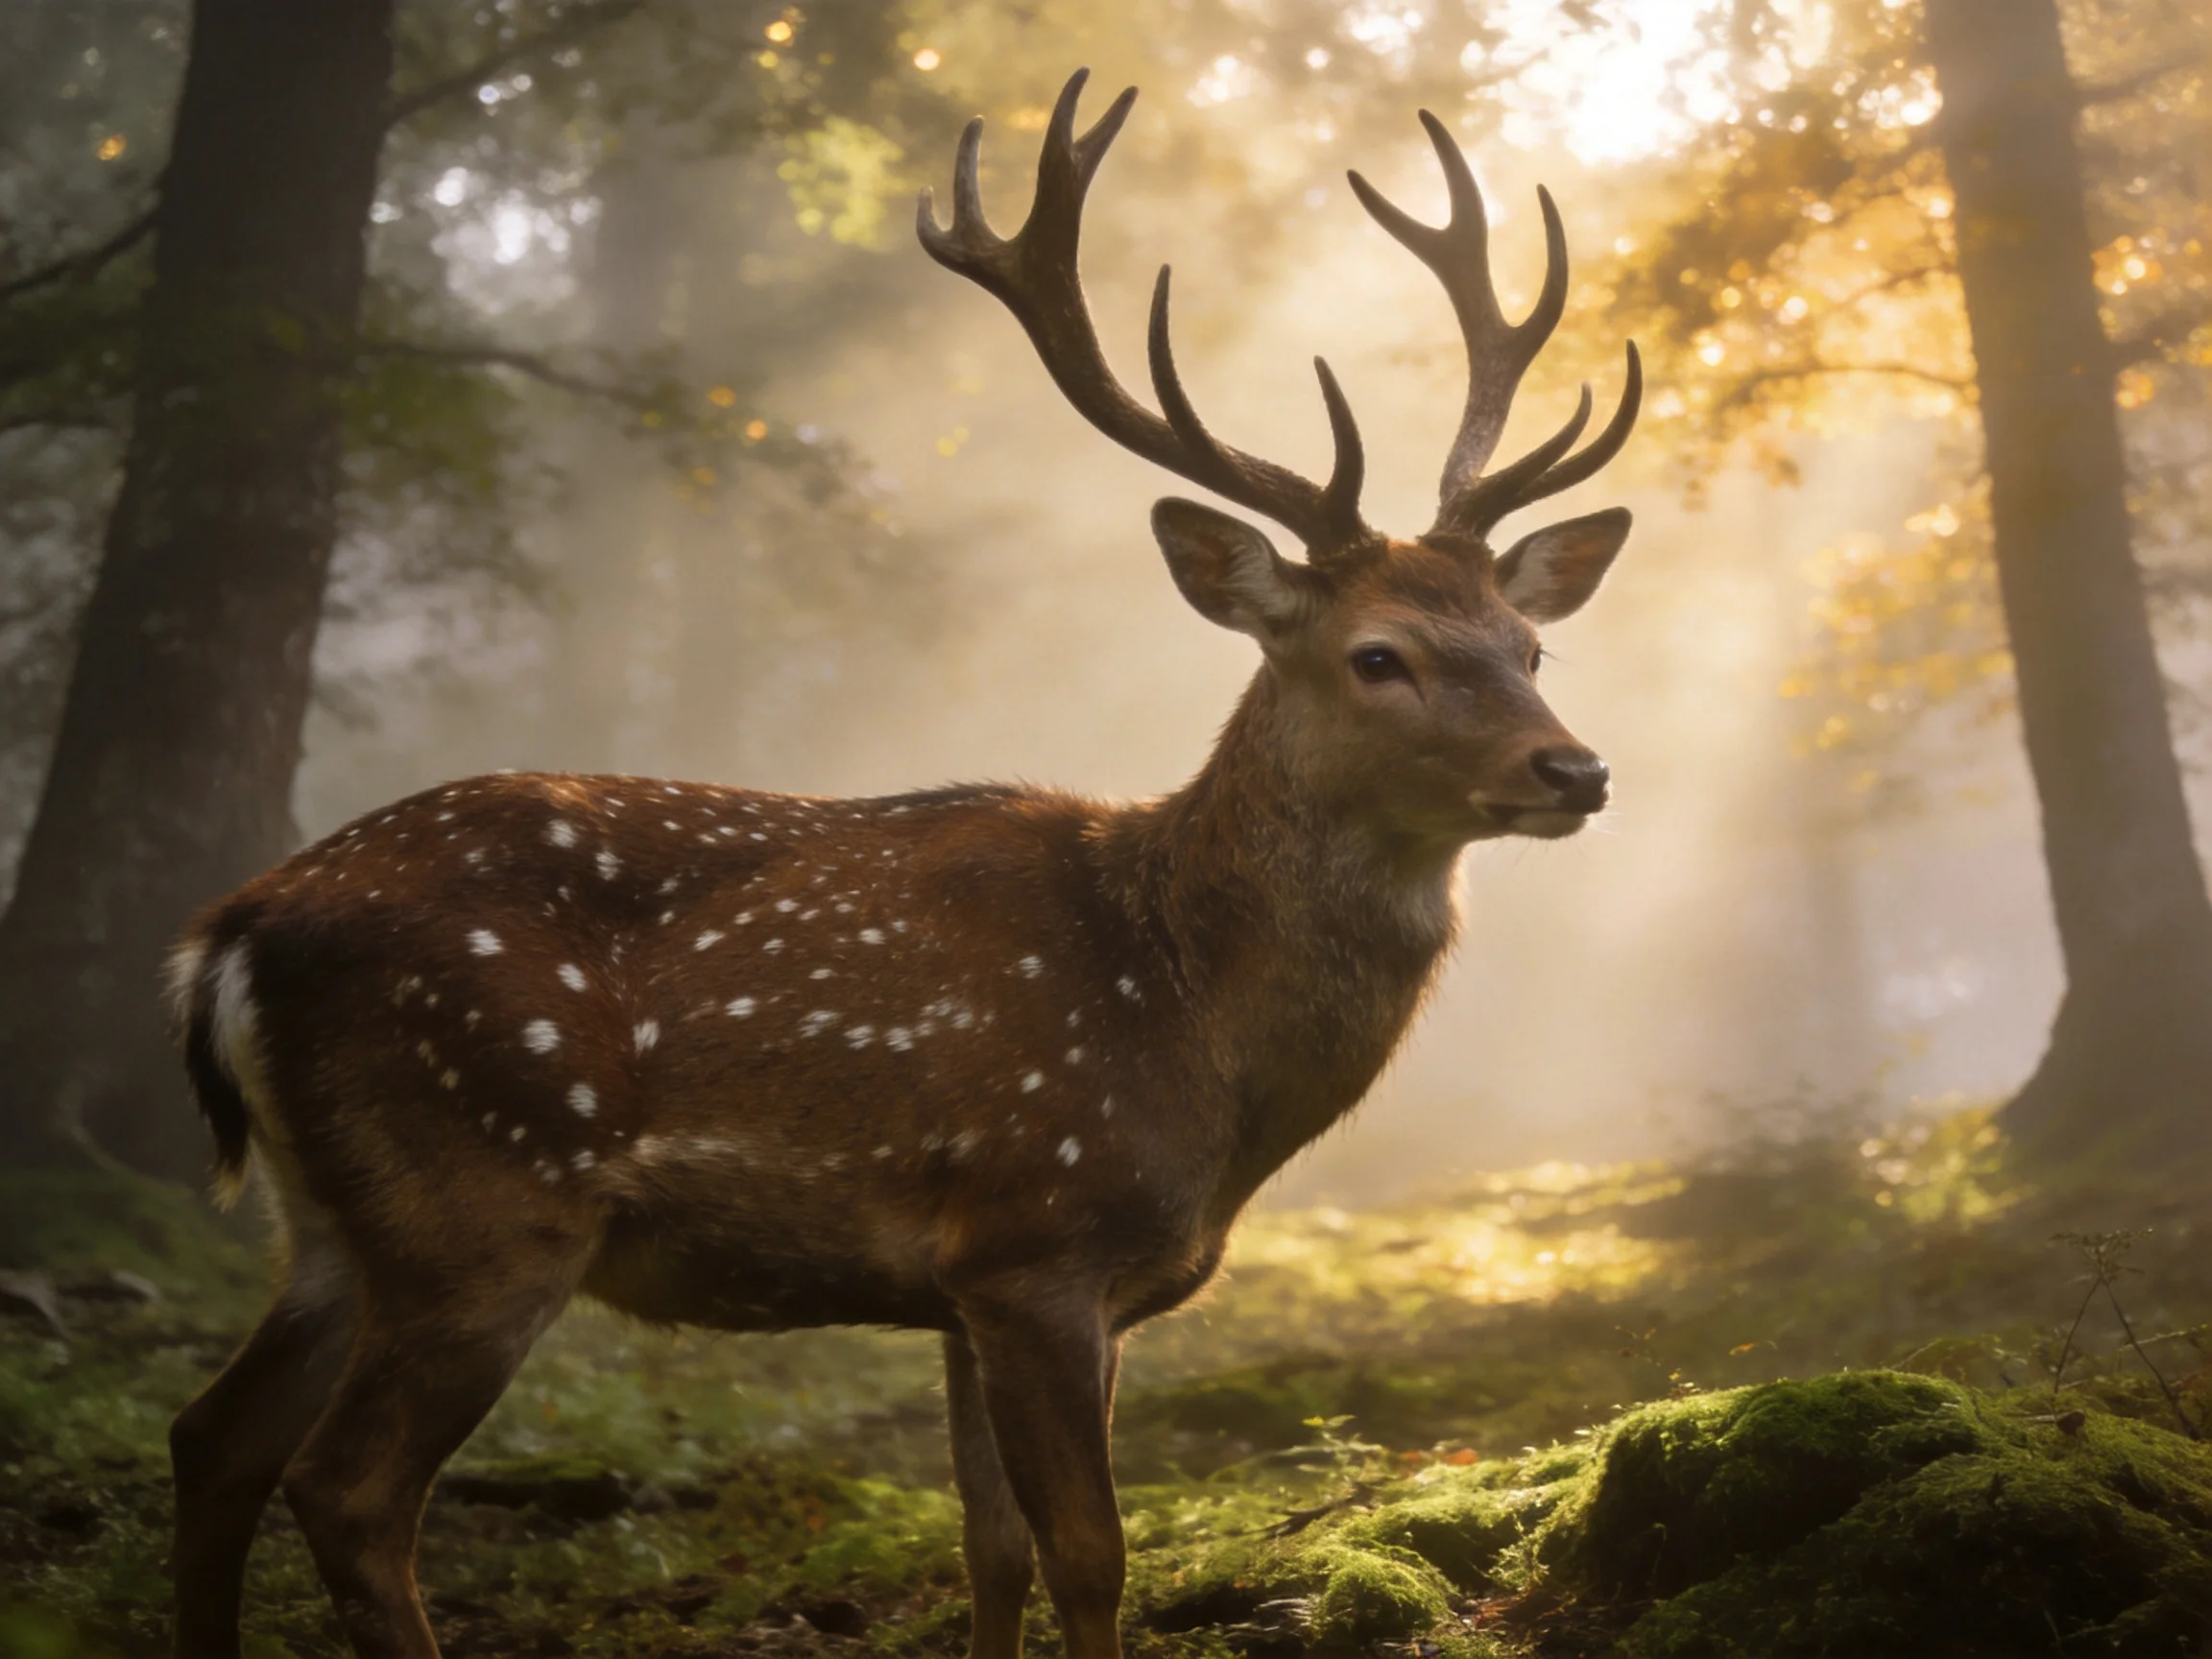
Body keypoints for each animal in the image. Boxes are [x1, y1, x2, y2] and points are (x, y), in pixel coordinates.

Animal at [163, 68, 1639, 1659]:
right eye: (1380, 656)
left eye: (1529, 644)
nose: (1578, 770)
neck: (1193, 1037)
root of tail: (229, 934)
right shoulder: (1040, 1235)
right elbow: (1090, 1553)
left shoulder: (961, 1287)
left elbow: (989, 1549)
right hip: (486, 1192)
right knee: (349, 1491)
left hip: (335, 1222)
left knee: (210, 1438)